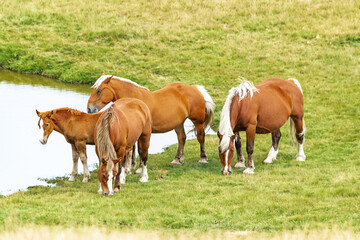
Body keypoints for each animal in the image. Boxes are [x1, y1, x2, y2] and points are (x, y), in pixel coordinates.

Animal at [87, 74, 215, 168]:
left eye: (99, 91)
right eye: (93, 89)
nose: (89, 108)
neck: (134, 101)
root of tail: (195, 89)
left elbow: (140, 149)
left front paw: (138, 167)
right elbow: (133, 148)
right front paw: (131, 165)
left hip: (198, 121)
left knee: (201, 137)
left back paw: (203, 158)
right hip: (179, 123)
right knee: (182, 138)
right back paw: (178, 159)